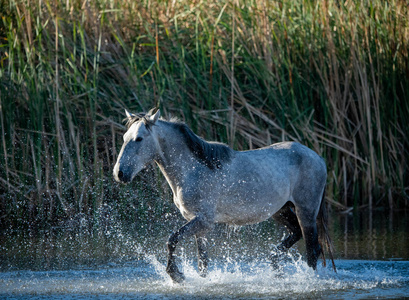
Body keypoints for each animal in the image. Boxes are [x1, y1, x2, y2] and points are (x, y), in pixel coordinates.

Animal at [112, 108, 334, 284]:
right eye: (123, 138)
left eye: (139, 139)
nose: (119, 173)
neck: (193, 170)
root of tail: (318, 158)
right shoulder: (198, 226)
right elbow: (203, 263)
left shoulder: (204, 221)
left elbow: (172, 239)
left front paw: (176, 275)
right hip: (280, 211)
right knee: (295, 234)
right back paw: (275, 267)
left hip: (306, 211)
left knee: (312, 250)